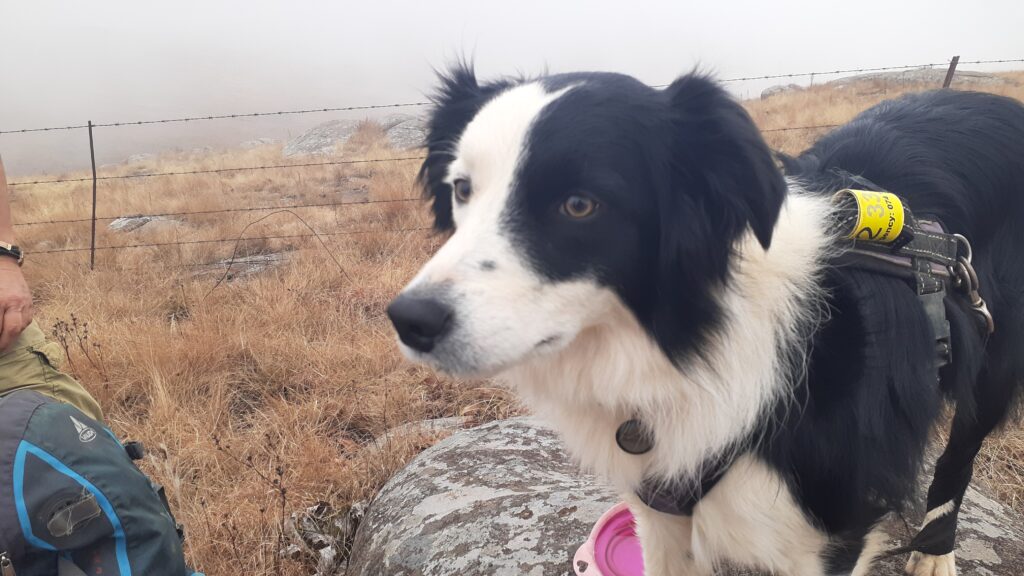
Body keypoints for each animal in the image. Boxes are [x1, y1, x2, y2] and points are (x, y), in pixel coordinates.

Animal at [386, 64, 1024, 575]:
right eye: (461, 189)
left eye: (579, 205)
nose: (410, 320)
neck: (689, 343)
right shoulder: (660, 507)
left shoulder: (828, 532)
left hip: (994, 360)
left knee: (960, 455)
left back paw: (935, 551)